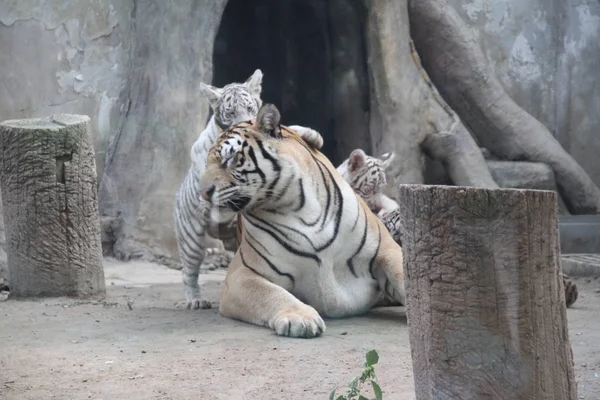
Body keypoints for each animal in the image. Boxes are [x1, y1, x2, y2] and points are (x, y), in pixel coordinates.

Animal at [173, 69, 324, 310]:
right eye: (231, 112)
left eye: (251, 108)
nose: (246, 126)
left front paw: (311, 135)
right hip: (191, 238)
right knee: (189, 272)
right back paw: (195, 300)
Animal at [199, 104, 406, 338]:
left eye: (229, 159)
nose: (203, 193)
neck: (298, 207)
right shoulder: (241, 273)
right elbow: (270, 293)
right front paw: (300, 318)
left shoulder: (385, 249)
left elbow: (404, 275)